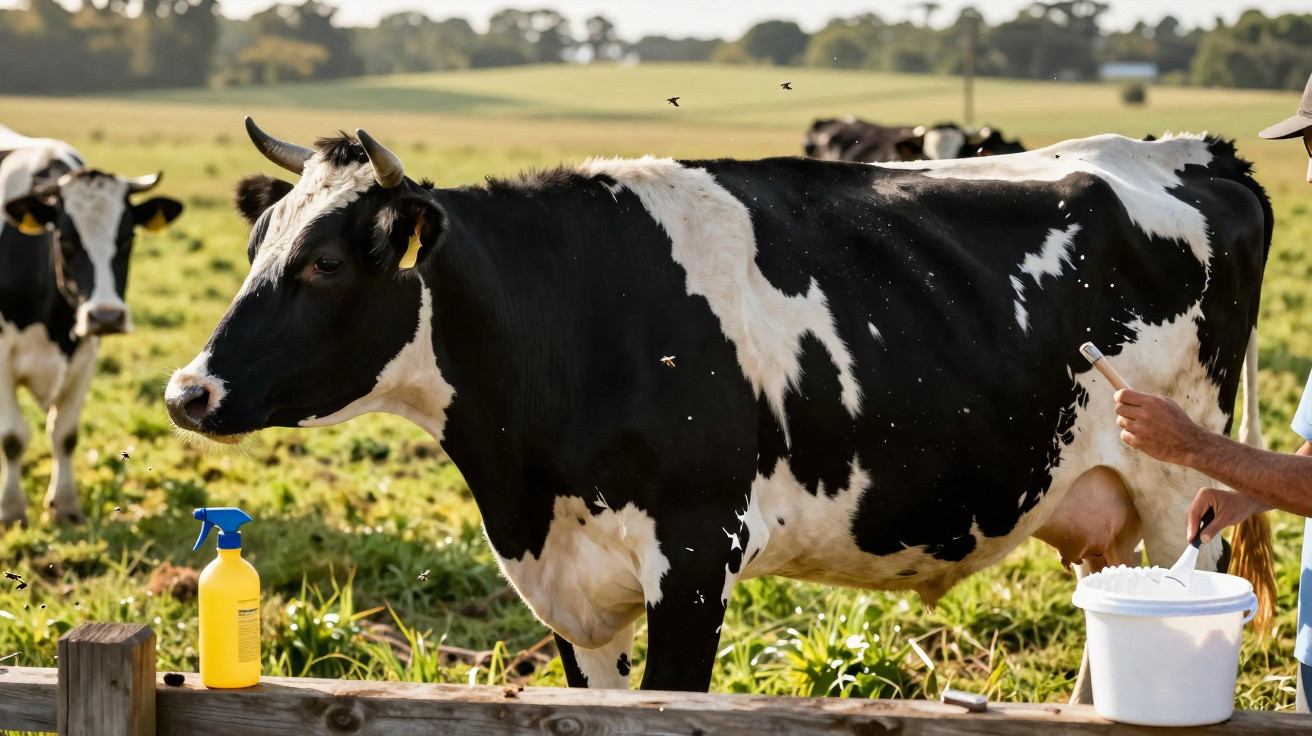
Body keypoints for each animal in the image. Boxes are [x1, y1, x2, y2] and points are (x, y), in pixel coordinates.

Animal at [0, 140, 183, 526]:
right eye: (65, 238)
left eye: (127, 238)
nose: (106, 315)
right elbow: (12, 437)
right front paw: (10, 508)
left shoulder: (85, 357)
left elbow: (65, 435)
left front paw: (66, 505)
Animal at [166, 119, 1272, 693]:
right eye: (257, 239)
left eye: (321, 262)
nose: (187, 390)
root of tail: (1197, 150)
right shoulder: (575, 596)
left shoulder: (695, 557)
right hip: (1098, 500)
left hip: (1180, 492)